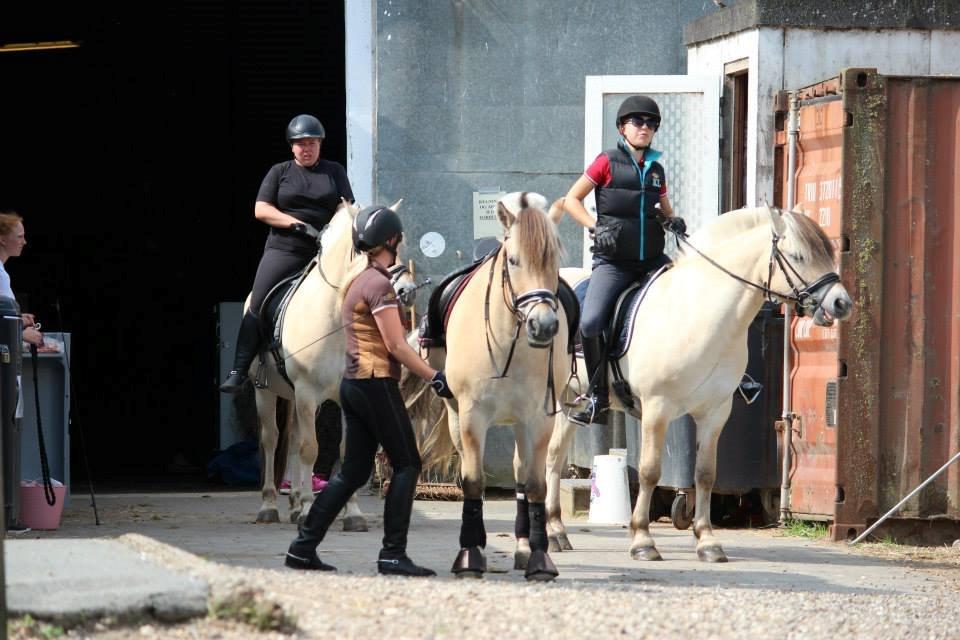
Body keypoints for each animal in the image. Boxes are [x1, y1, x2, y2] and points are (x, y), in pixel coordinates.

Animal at [404, 190, 568, 580]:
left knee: (521, 475)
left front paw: (540, 558)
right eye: (513, 260)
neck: (512, 339)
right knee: (472, 472)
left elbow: (535, 485)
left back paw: (523, 547)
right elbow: (474, 482)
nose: (544, 326)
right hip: (455, 416)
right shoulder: (471, 416)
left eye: (554, 261)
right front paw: (470, 555)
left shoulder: (540, 419)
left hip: (522, 425)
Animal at [544, 205, 852, 560]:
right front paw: (642, 540)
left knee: (554, 455)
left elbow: (705, 474)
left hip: (571, 401)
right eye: (799, 256)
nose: (842, 303)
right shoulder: (657, 408)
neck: (700, 313)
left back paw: (556, 532)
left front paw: (707, 540)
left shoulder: (715, 411)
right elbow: (650, 470)